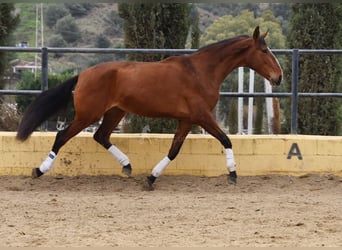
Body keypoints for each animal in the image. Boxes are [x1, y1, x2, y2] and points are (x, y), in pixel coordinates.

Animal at [16, 25, 282, 189]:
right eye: (264, 50)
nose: (278, 77)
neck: (200, 71)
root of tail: (83, 74)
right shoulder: (202, 116)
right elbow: (226, 139)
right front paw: (233, 174)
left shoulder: (187, 120)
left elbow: (174, 150)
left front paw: (151, 178)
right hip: (88, 114)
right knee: (62, 136)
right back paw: (39, 170)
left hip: (115, 112)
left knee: (101, 136)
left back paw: (127, 166)